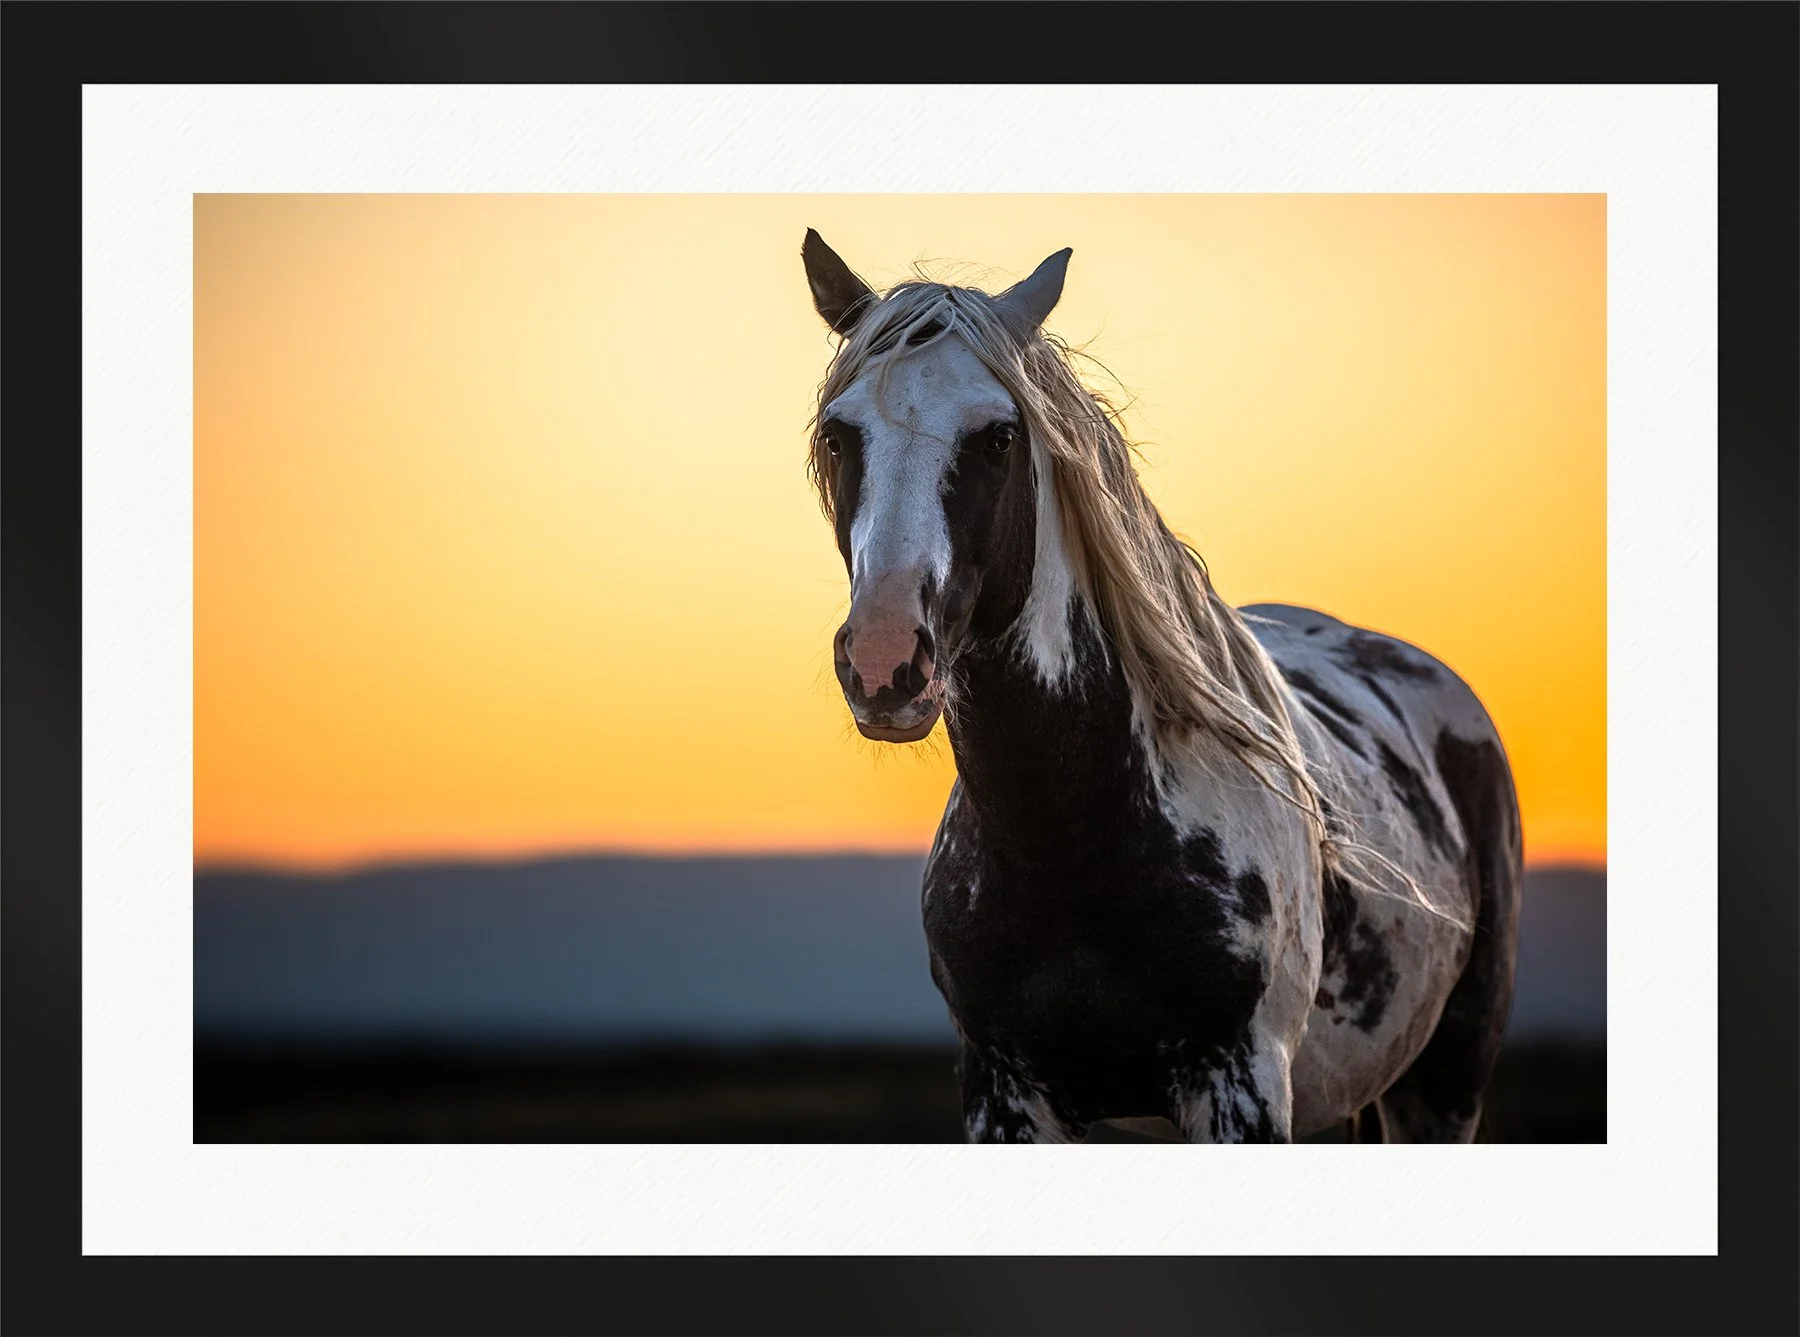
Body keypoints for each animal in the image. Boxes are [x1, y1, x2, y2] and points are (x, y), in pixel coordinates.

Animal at [798, 230, 1522, 1143]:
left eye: (1000, 436)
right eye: (837, 435)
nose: (887, 658)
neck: (1070, 841)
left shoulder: (1241, 1087)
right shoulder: (1004, 1095)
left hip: (1446, 1078)